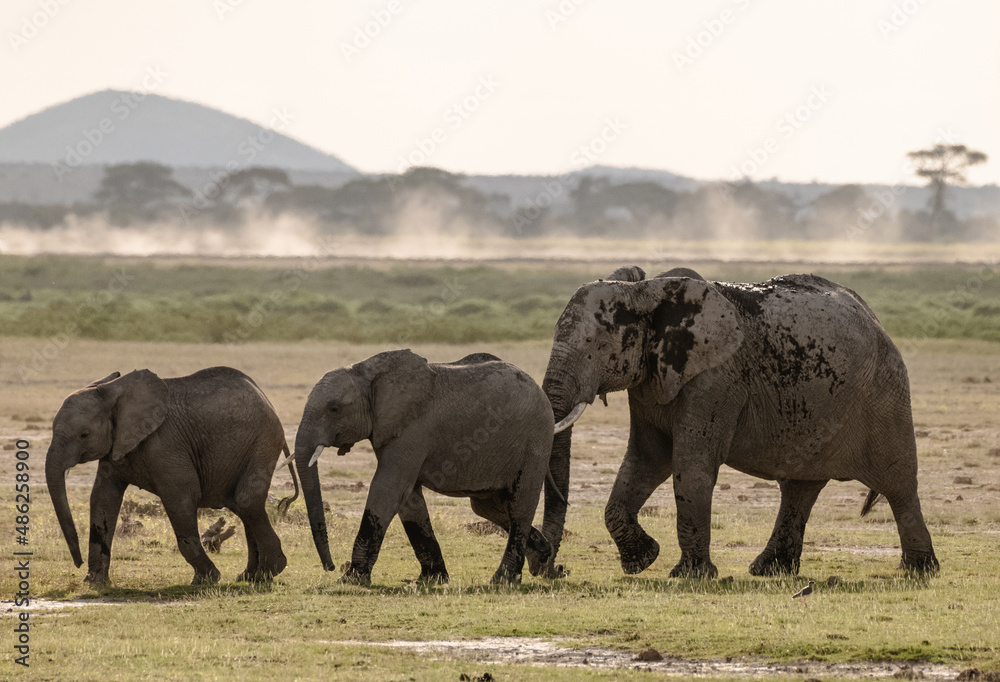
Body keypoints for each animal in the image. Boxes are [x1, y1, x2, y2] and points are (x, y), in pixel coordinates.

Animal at [45, 367, 299, 586]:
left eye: (84, 434)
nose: (77, 563)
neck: (112, 389)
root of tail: (265, 398)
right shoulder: (116, 445)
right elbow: (102, 499)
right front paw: (95, 583)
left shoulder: (166, 445)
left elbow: (181, 498)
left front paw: (206, 580)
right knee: (241, 506)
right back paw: (249, 576)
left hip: (262, 442)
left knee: (246, 501)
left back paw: (268, 571)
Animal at [293, 349, 555, 586]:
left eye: (334, 409)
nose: (330, 567)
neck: (367, 371)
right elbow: (409, 500)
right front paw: (431, 579)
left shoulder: (413, 429)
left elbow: (388, 490)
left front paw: (351, 579)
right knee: (490, 508)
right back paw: (543, 559)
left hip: (536, 440)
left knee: (519, 506)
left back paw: (503, 580)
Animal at [532, 265, 938, 579]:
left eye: (597, 346)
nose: (553, 568)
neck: (646, 292)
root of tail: (874, 318)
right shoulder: (652, 381)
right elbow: (645, 460)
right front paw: (642, 560)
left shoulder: (716, 379)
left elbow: (690, 467)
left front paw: (690, 575)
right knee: (800, 488)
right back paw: (769, 570)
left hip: (885, 393)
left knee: (898, 483)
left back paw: (919, 570)